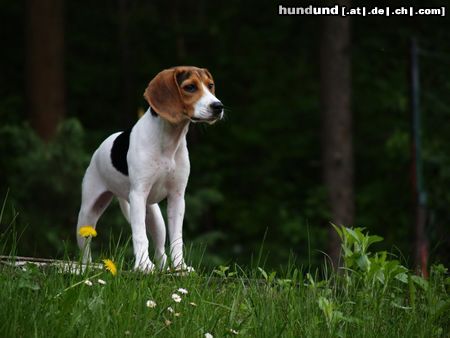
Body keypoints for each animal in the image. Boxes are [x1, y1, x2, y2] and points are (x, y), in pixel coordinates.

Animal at [78, 66, 225, 272]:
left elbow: (177, 238)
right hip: (88, 212)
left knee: (160, 248)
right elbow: (140, 235)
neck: (169, 140)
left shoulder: (177, 197)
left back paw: (163, 267)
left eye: (210, 86)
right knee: (85, 245)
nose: (218, 106)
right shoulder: (139, 194)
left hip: (155, 217)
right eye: (190, 87)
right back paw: (86, 266)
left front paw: (180, 267)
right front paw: (143, 266)